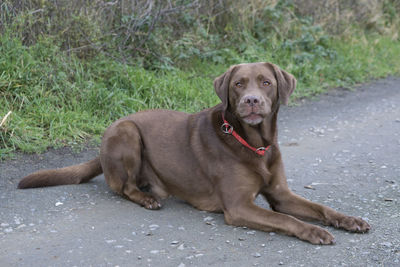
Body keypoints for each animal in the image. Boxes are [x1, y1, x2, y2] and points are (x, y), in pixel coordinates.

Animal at [18, 62, 368, 245]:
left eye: (266, 82)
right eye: (239, 84)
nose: (251, 101)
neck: (253, 143)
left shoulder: (280, 193)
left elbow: (319, 207)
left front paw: (348, 220)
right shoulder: (239, 207)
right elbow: (283, 219)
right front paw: (314, 231)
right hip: (128, 133)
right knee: (123, 187)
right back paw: (147, 197)